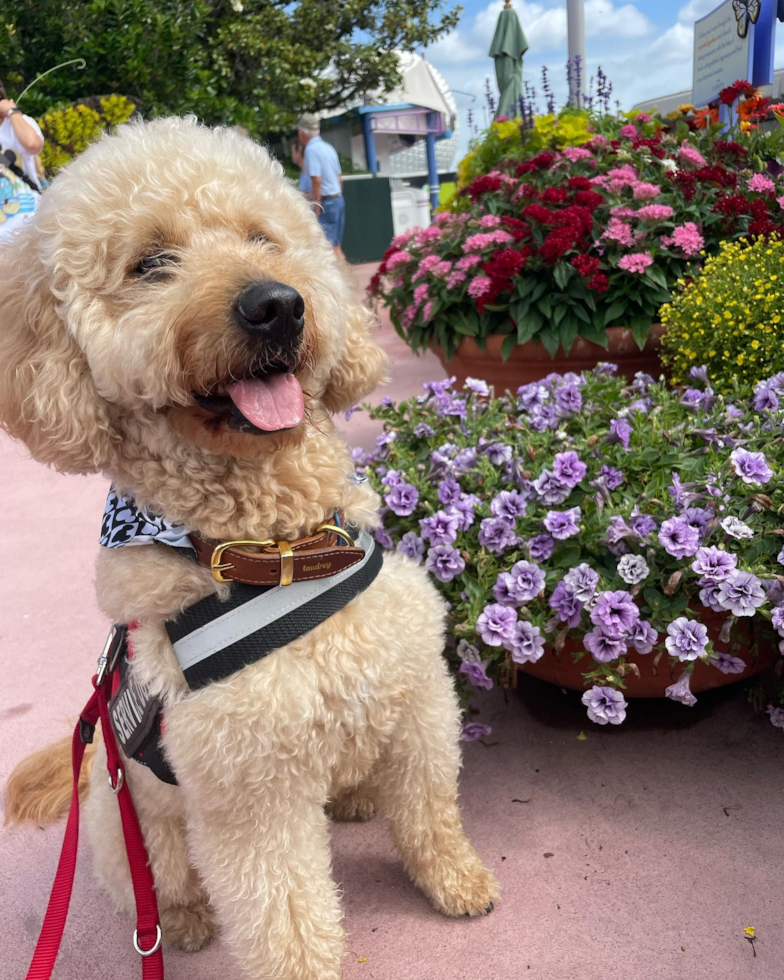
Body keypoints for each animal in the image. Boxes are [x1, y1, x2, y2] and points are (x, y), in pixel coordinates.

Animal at [0, 120, 500, 980]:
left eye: (262, 236)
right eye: (150, 264)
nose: (275, 305)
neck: (277, 545)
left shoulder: (419, 701)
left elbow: (429, 811)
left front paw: (455, 878)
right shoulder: (252, 794)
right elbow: (287, 922)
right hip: (128, 827)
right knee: (154, 886)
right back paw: (182, 922)